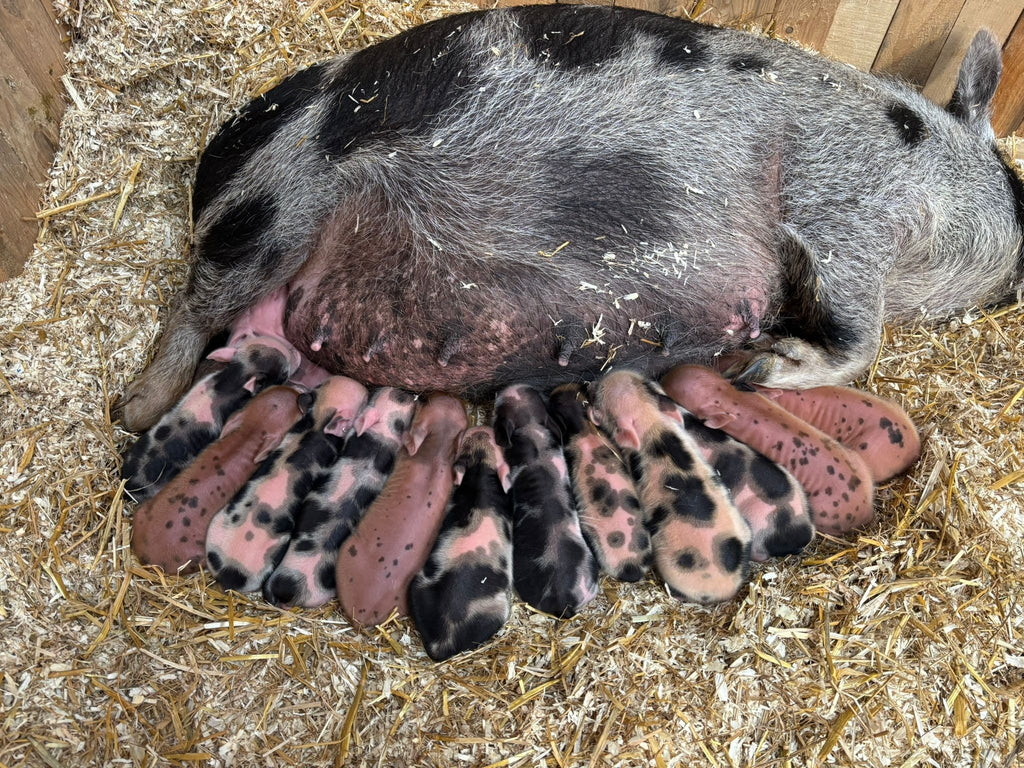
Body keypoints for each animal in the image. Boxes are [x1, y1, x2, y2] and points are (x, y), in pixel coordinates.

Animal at [116, 4, 1019, 434]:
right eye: (1016, 188)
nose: (1013, 286)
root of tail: (212, 165)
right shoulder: (843, 208)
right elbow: (859, 341)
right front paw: (760, 366)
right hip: (275, 203)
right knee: (194, 303)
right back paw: (133, 410)